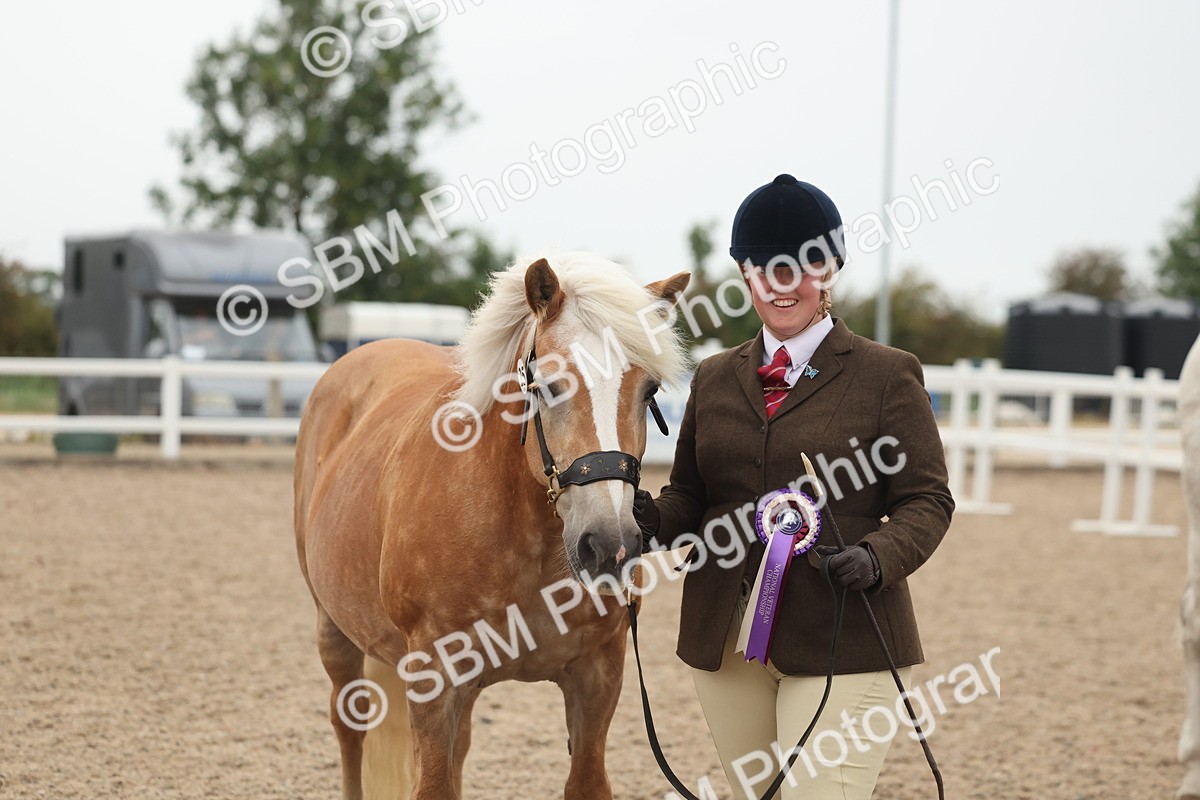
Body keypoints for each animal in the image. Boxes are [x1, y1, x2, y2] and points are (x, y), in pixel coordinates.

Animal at [293, 253, 691, 799]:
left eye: (649, 389)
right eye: (548, 385)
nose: (610, 544)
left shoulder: (598, 676)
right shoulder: (434, 679)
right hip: (333, 631)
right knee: (349, 730)